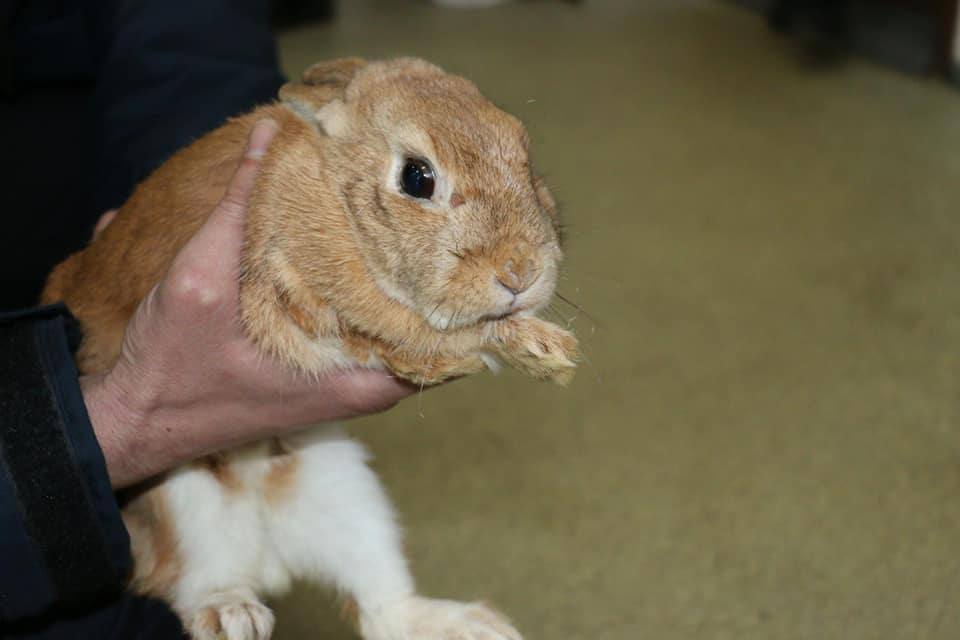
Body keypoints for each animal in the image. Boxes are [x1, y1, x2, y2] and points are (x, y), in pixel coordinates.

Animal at [42, 57, 578, 640]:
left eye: (524, 155)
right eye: (417, 177)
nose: (520, 271)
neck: (337, 192)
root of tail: (272, 560)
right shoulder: (298, 284)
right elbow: (412, 329)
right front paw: (541, 349)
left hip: (349, 495)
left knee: (381, 603)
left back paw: (473, 625)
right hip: (181, 509)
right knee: (191, 582)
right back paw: (234, 614)